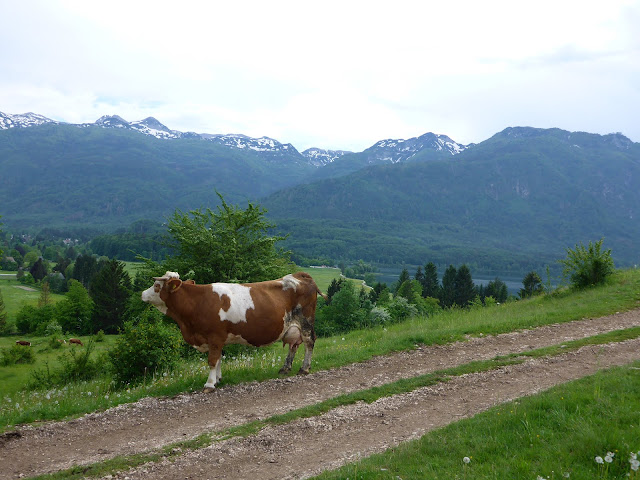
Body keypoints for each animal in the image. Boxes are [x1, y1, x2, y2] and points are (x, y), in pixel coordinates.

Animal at [143, 272, 328, 392]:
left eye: (157, 286)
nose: (142, 294)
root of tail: (300, 275)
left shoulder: (215, 336)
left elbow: (212, 360)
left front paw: (209, 384)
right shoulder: (217, 339)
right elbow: (218, 359)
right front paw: (218, 380)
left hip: (305, 322)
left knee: (309, 342)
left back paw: (304, 368)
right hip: (291, 326)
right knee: (293, 345)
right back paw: (285, 368)